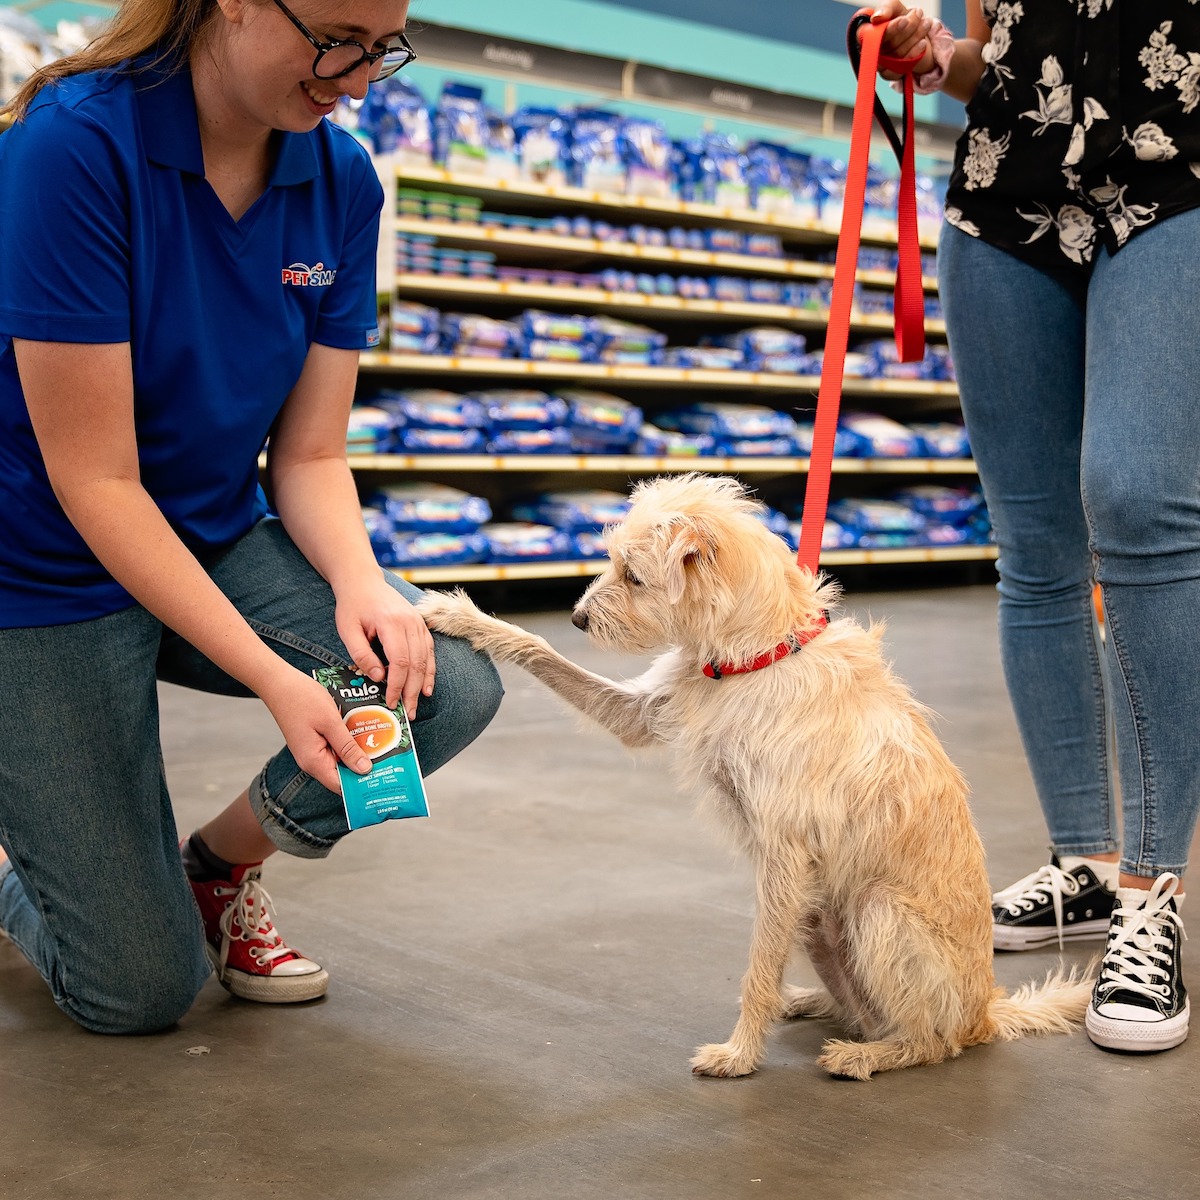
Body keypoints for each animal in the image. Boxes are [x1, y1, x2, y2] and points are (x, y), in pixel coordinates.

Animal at [417, 472, 1094, 1084]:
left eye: (634, 576)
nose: (580, 618)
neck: (756, 656)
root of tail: (987, 1012)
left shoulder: (784, 856)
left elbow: (757, 966)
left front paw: (740, 1054)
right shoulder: (640, 716)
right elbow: (539, 648)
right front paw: (462, 615)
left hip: (876, 914)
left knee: (932, 1041)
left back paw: (868, 1055)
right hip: (821, 924)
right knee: (863, 1008)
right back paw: (816, 1004)